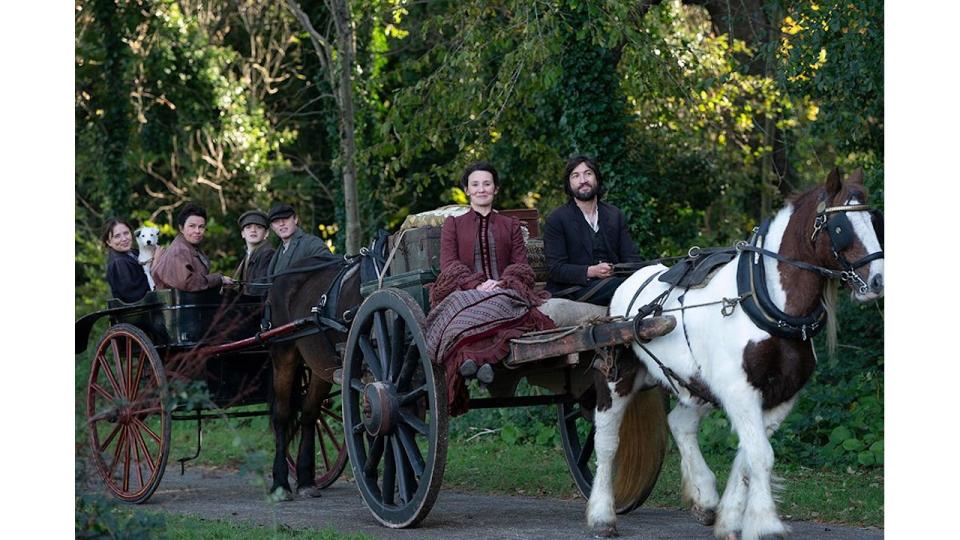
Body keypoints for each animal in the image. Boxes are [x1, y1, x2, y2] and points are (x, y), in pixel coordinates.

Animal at [588, 170, 888, 540]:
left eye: (874, 221)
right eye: (841, 226)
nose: (878, 282)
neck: (764, 301)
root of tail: (628, 282)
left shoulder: (780, 396)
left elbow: (748, 456)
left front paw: (732, 519)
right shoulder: (740, 390)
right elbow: (761, 455)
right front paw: (766, 524)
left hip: (695, 382)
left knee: (680, 423)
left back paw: (704, 497)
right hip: (618, 377)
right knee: (606, 441)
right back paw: (602, 515)